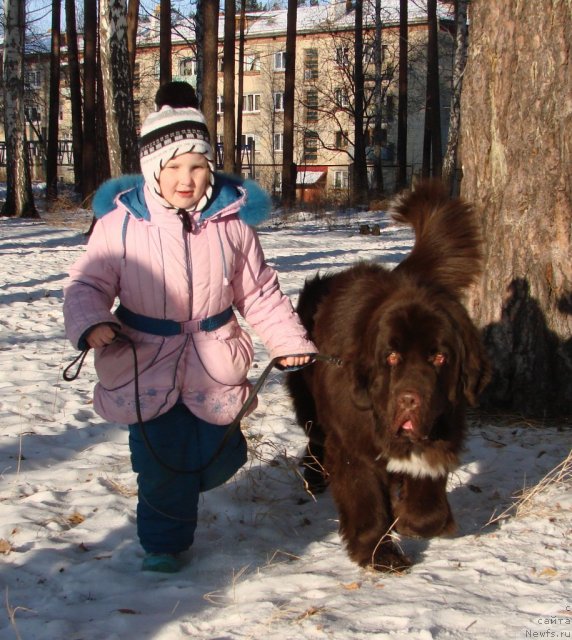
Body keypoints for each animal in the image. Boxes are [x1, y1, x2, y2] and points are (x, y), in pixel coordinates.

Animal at [288, 180, 490, 568]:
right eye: (392, 357)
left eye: (439, 357)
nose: (410, 399)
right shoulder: (353, 445)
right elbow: (365, 499)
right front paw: (379, 552)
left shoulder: (442, 425)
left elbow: (426, 503)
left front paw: (410, 517)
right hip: (309, 403)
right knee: (315, 436)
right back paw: (314, 476)